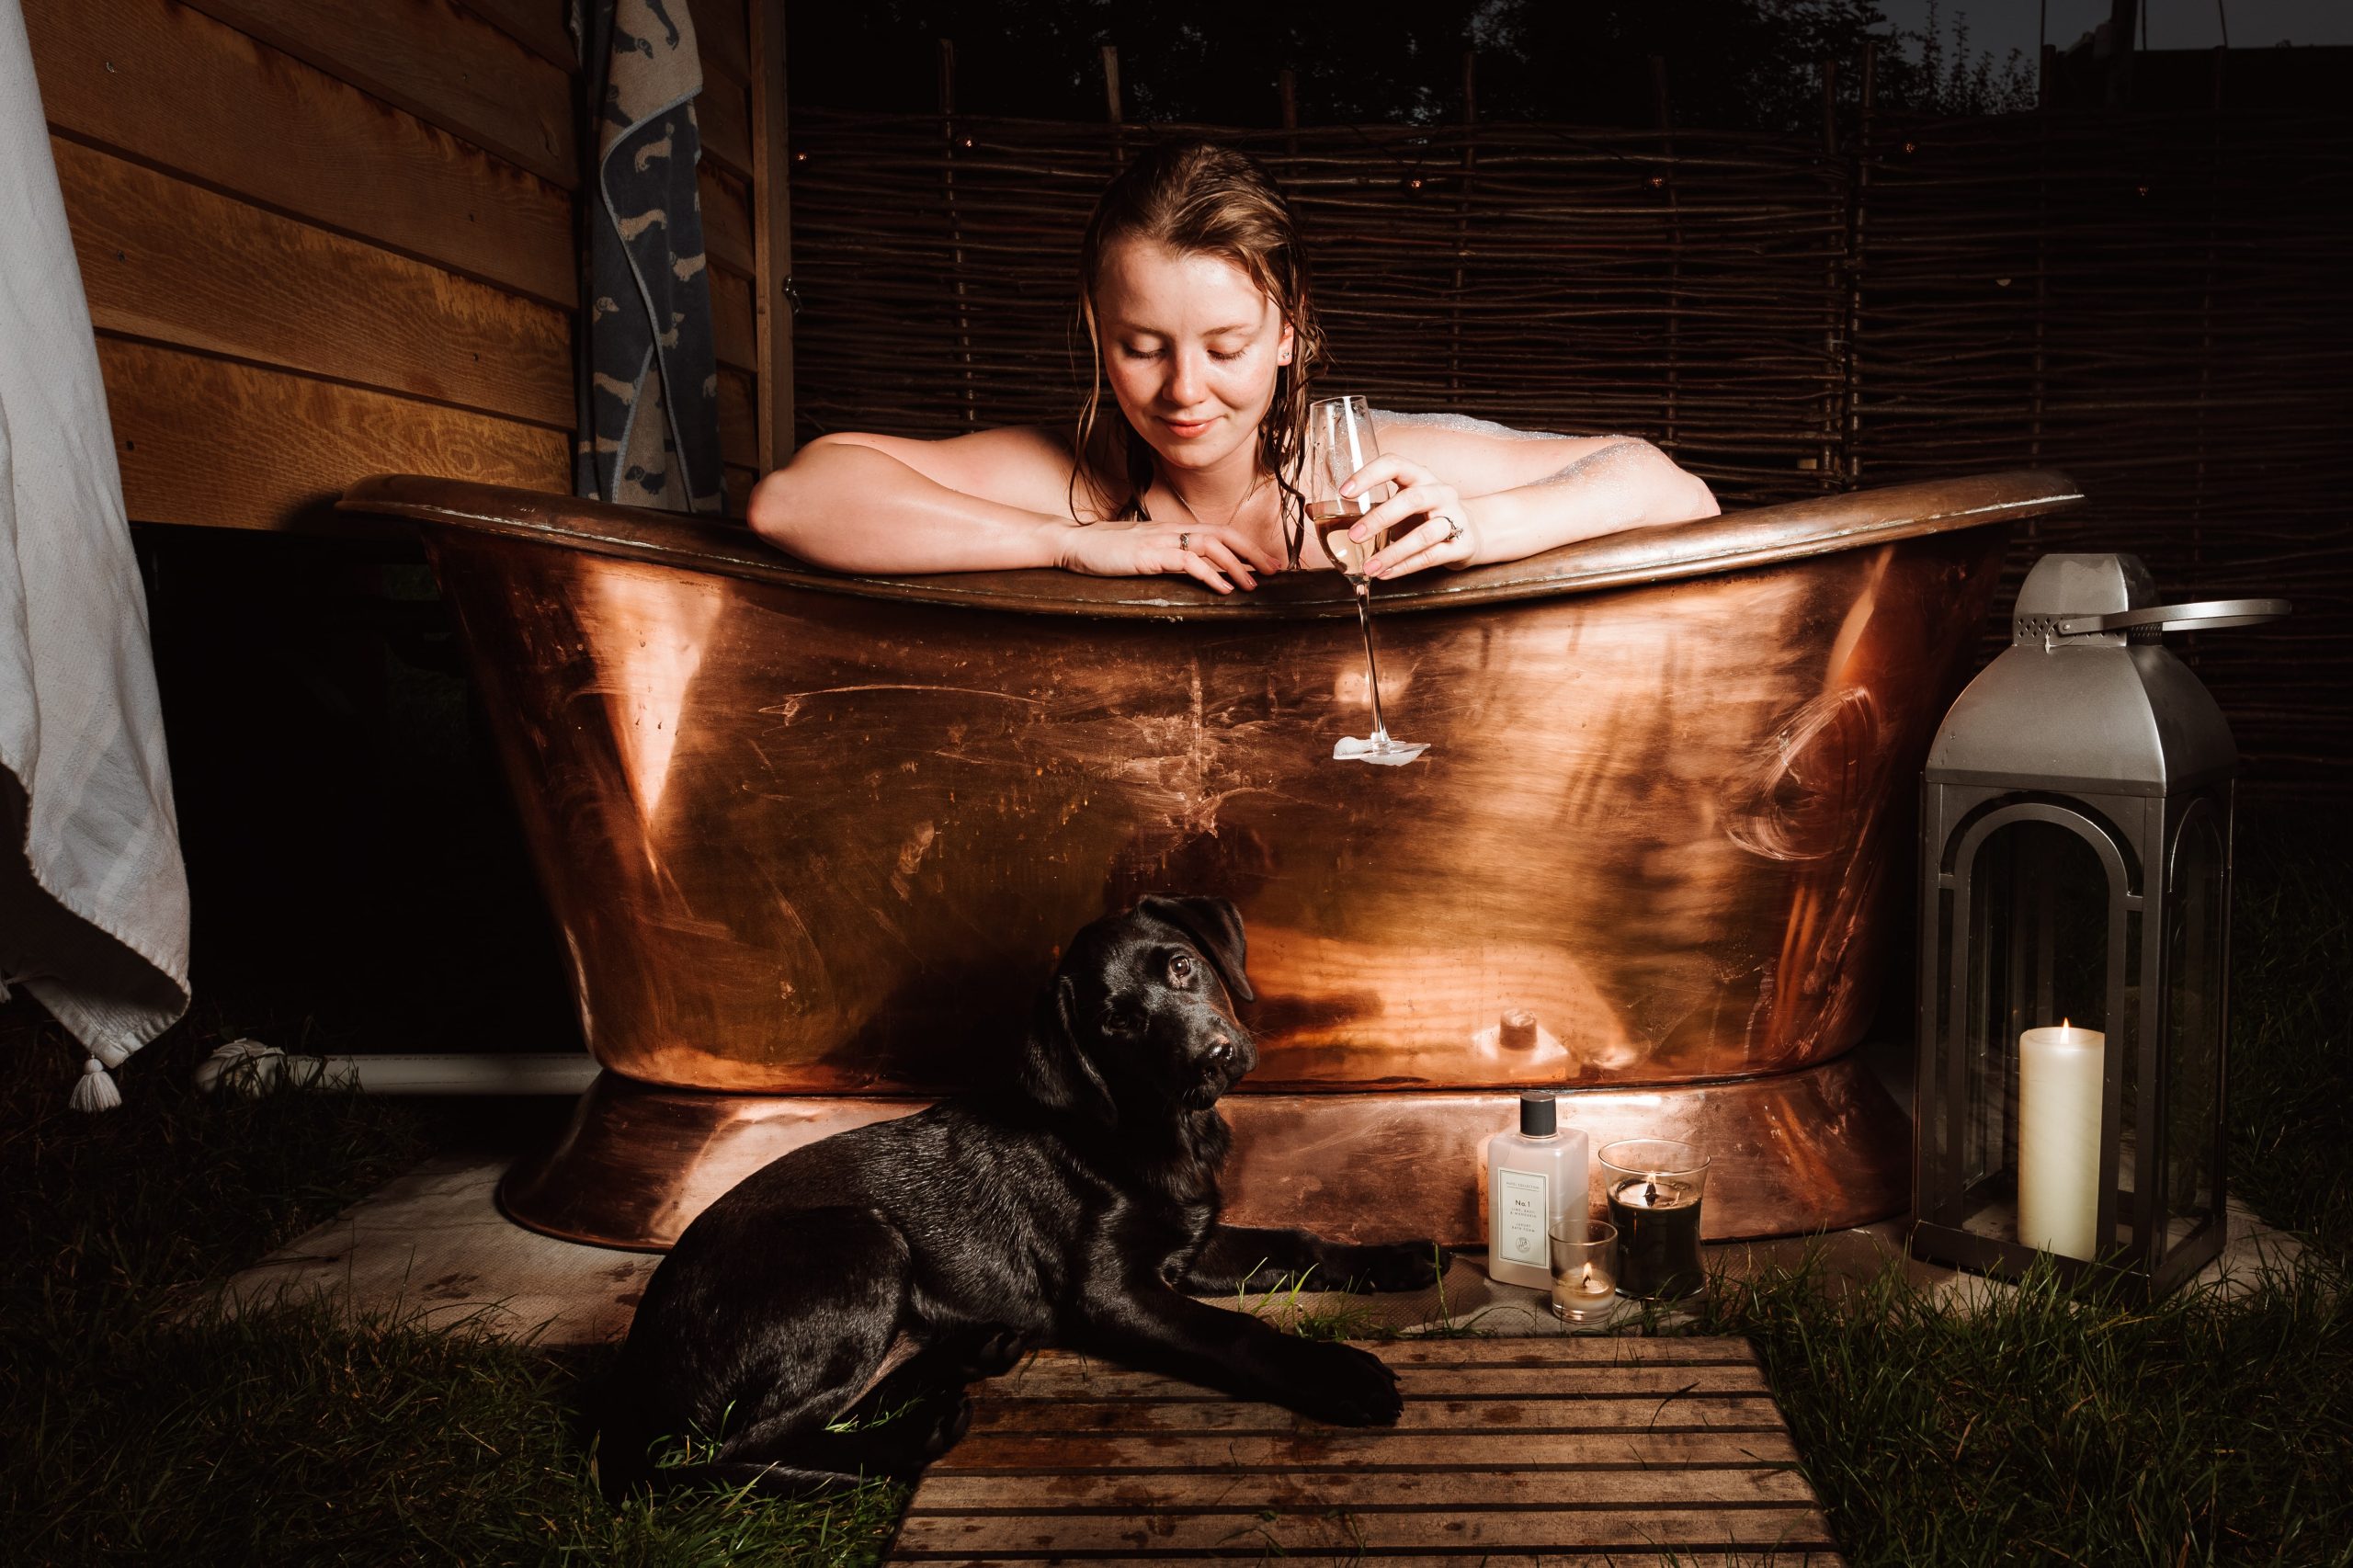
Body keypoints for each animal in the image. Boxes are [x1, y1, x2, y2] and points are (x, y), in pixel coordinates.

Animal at [597, 890, 1439, 1487]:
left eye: (1179, 964)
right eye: (1116, 1024)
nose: (1214, 1054)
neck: (1151, 1127)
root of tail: (636, 1385)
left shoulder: (1191, 1244)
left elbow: (1298, 1242)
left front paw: (1396, 1258)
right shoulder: (1111, 1293)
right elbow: (1236, 1332)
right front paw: (1335, 1372)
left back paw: (968, 1355)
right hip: (864, 1242)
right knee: (736, 1451)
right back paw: (909, 1439)